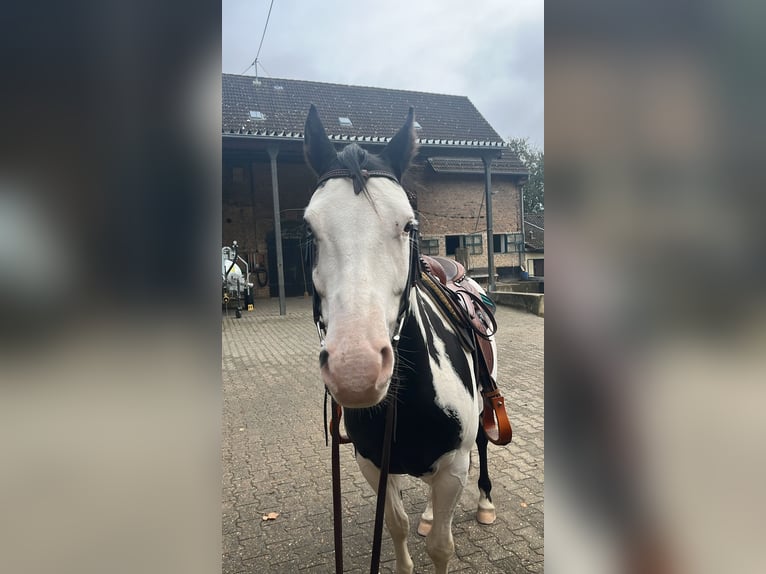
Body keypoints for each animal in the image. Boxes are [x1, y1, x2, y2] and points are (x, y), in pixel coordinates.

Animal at [303, 104, 499, 574]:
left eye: (409, 224)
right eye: (309, 230)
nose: (357, 371)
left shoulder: (454, 467)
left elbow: (442, 547)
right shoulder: (373, 464)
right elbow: (396, 525)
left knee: (485, 443)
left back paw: (485, 503)